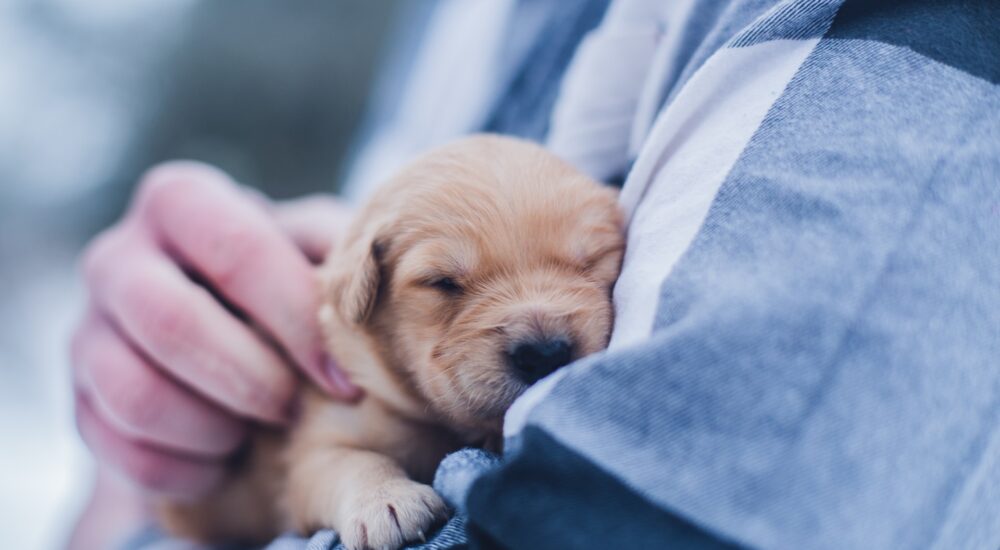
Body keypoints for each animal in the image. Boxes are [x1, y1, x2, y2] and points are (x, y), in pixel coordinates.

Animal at [160, 135, 620, 550]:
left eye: (592, 260)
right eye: (442, 282)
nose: (544, 354)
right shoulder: (314, 444)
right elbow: (349, 461)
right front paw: (386, 501)